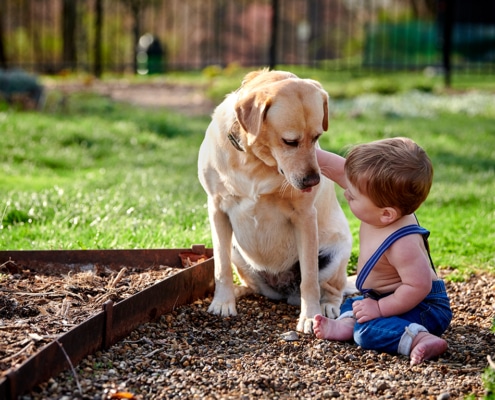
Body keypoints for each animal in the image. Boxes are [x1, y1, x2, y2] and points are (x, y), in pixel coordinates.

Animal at [198, 69, 352, 334]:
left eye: (317, 137)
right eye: (290, 141)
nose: (313, 181)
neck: (253, 159)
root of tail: (284, 292)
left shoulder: (304, 217)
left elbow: (309, 280)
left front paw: (308, 316)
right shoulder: (217, 209)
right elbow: (220, 266)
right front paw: (223, 302)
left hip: (336, 252)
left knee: (332, 288)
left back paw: (327, 306)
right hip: (238, 252)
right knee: (250, 283)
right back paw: (239, 291)